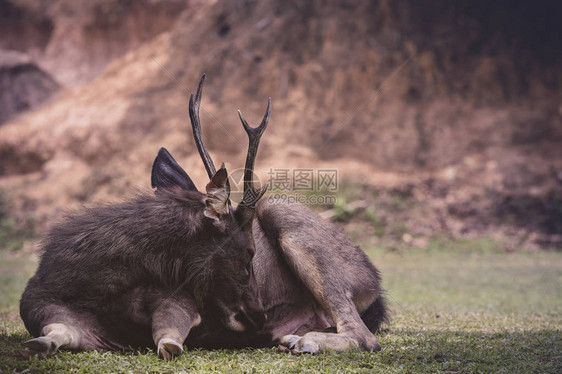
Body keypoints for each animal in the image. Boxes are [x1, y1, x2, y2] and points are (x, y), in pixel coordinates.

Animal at [17, 74, 384, 360]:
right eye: (249, 253)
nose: (260, 318)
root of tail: (376, 286)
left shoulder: (179, 299)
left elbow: (167, 336)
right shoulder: (41, 303)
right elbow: (56, 331)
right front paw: (40, 344)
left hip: (288, 218)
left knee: (365, 337)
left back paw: (306, 341)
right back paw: (294, 336)